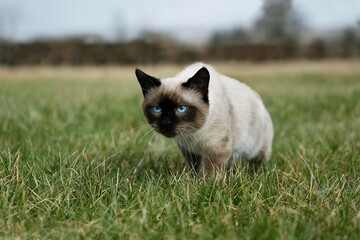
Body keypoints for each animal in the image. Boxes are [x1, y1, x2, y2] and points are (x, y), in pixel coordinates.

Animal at [135, 62, 272, 175]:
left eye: (181, 108)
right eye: (157, 109)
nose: (166, 123)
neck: (193, 134)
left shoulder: (216, 148)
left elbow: (209, 173)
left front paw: (205, 185)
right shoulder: (190, 151)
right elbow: (196, 167)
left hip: (257, 150)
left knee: (258, 161)